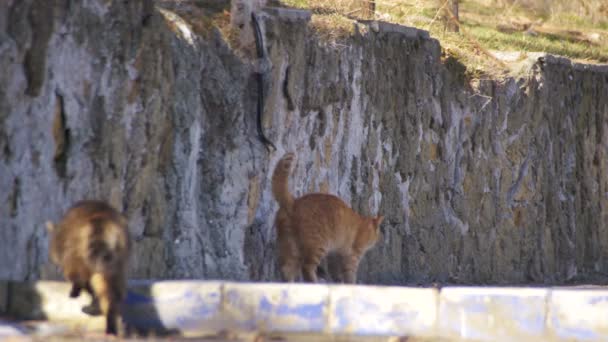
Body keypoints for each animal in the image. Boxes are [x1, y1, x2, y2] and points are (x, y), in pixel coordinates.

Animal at [46, 199, 131, 336]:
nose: (56, 267)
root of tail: (102, 220)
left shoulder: (68, 250)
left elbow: (79, 277)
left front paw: (78, 289)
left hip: (79, 249)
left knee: (82, 276)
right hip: (120, 255)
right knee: (114, 289)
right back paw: (111, 317)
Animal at [270, 153, 380, 284]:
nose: (376, 241)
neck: (363, 224)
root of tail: (294, 201)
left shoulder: (335, 254)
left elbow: (336, 273)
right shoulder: (352, 255)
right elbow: (350, 275)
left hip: (291, 247)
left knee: (287, 269)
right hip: (317, 246)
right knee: (306, 267)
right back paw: (314, 282)